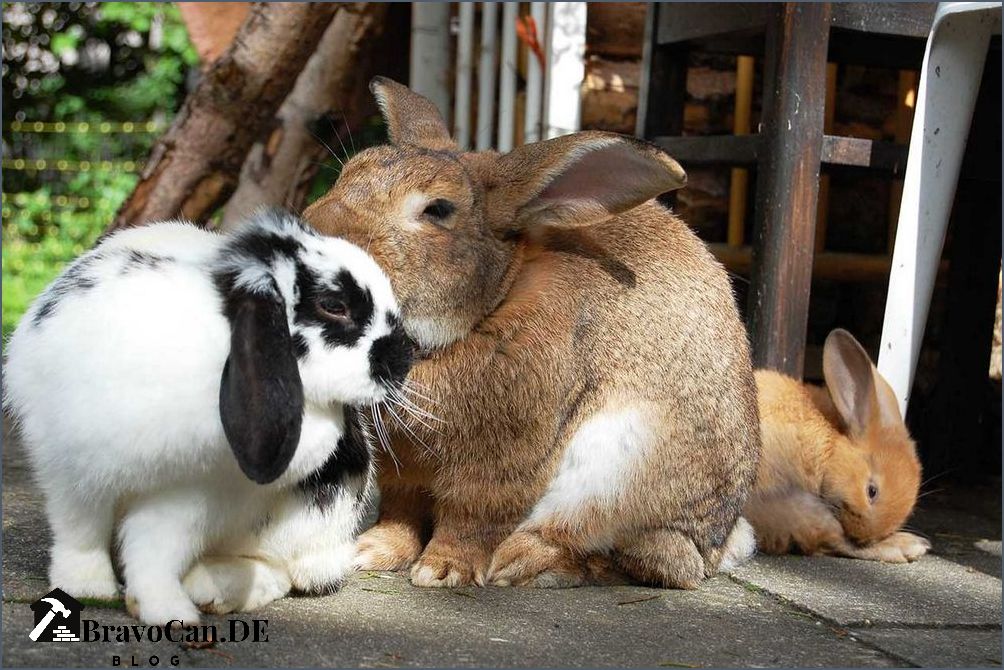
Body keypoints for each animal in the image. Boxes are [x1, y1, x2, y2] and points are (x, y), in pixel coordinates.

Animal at [3, 208, 414, 625]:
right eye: (334, 305)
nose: (403, 361)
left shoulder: (184, 495)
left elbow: (153, 554)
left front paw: (168, 611)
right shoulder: (71, 468)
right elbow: (80, 533)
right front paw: (86, 588)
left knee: (285, 571)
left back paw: (210, 587)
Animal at [303, 77, 761, 590]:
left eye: (438, 209)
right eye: (349, 173)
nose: (311, 238)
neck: (488, 309)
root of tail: (715, 546)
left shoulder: (500, 461)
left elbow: (471, 516)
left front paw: (441, 572)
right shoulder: (405, 468)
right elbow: (401, 511)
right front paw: (372, 553)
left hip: (617, 473)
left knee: (632, 556)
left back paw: (520, 561)